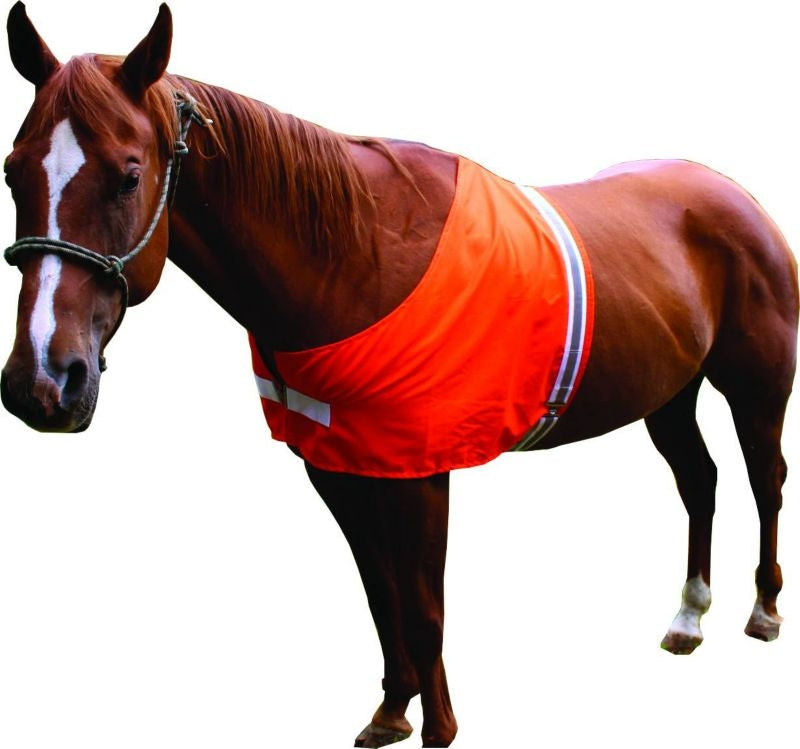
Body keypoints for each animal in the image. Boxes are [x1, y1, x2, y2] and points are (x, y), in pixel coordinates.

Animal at [1, 3, 797, 747]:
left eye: (128, 175)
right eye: (13, 171)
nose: (42, 382)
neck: (359, 256)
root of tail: (739, 198)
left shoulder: (420, 473)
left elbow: (424, 606)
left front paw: (439, 728)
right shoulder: (339, 465)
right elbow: (381, 593)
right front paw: (391, 709)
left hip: (756, 391)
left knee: (765, 480)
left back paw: (762, 610)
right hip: (669, 392)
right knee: (699, 481)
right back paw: (689, 616)